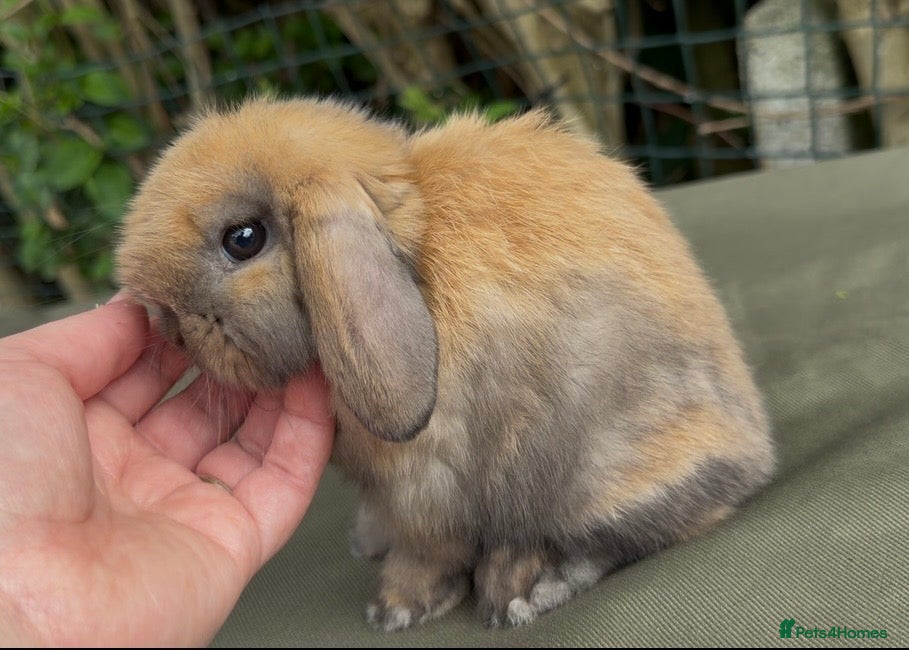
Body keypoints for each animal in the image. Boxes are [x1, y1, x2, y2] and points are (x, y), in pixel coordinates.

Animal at [115, 96, 775, 631]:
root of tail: (754, 452)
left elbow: (428, 551)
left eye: (244, 238)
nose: (164, 321)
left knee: (623, 533)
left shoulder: (423, 489)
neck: (410, 254)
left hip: (600, 473)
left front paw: (394, 608)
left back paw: (524, 589)